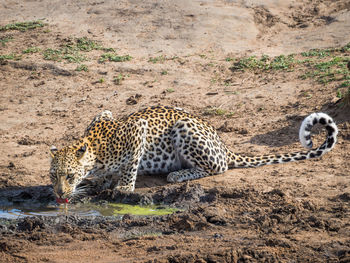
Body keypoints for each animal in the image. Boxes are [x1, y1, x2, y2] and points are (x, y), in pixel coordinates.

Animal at [49, 106, 336, 203]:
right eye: (53, 176)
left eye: (70, 175)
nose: (59, 194)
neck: (95, 152)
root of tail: (223, 144)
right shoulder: (104, 113)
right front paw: (103, 181)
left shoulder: (137, 129)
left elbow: (129, 166)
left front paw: (123, 188)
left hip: (184, 127)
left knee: (217, 168)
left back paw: (177, 175)